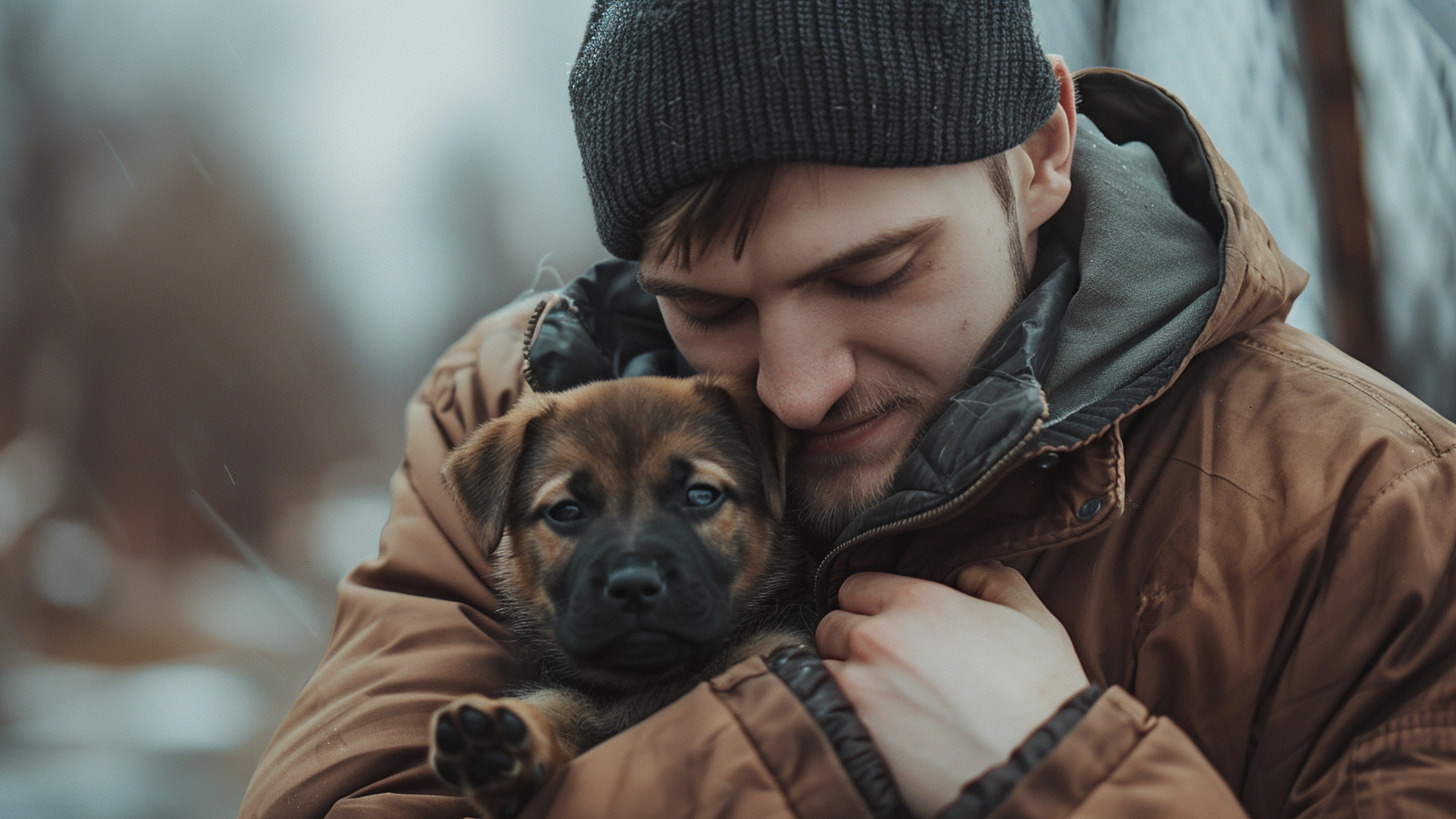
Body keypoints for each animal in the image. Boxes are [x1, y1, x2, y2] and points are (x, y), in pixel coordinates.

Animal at [425, 373, 815, 810]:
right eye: (565, 511)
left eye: (701, 494)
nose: (634, 586)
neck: (647, 685)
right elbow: (553, 708)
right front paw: (496, 744)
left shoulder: (772, 647)